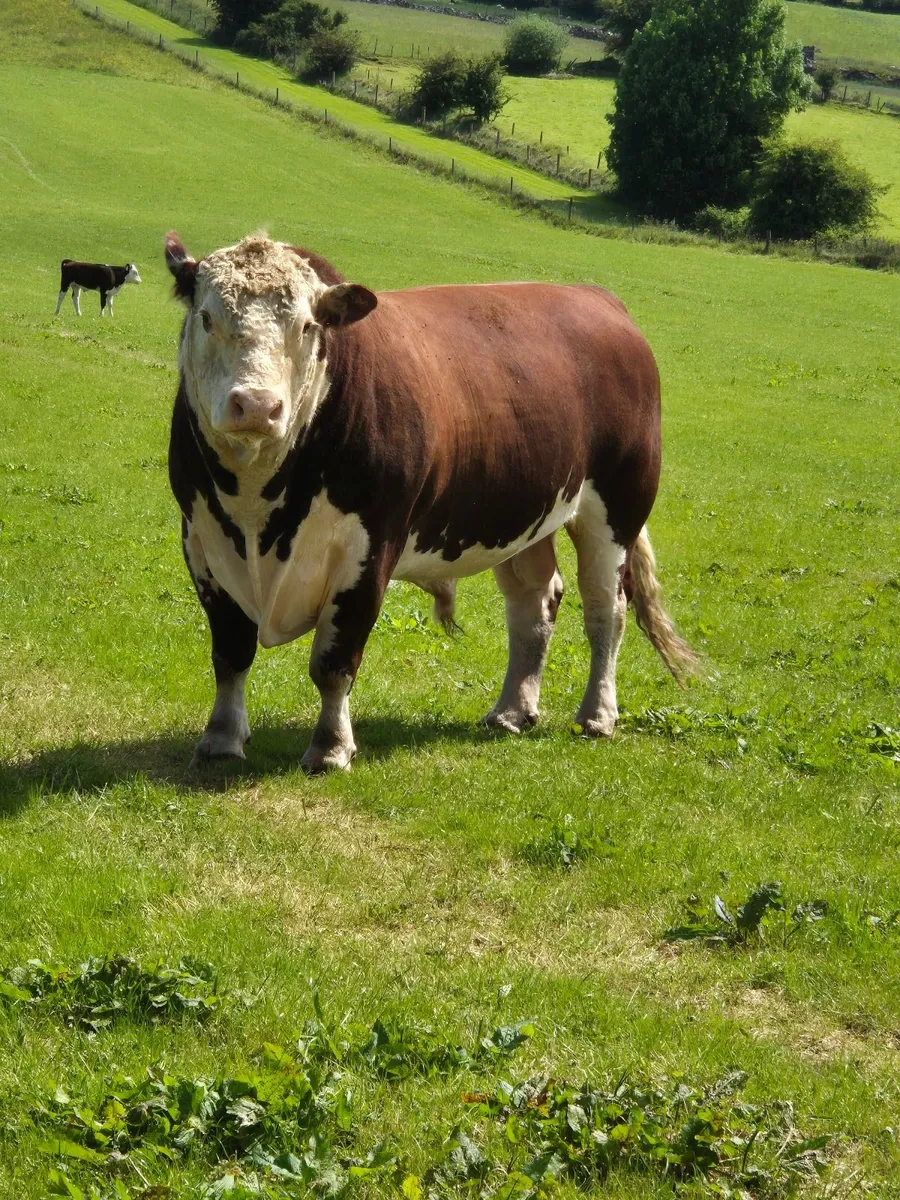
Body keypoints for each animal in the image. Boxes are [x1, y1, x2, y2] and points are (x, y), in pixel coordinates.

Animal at [164, 232, 695, 774]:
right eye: (206, 317)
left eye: (308, 325)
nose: (256, 406)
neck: (258, 511)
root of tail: (598, 299)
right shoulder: (202, 543)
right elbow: (231, 654)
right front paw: (222, 737)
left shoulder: (369, 551)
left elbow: (333, 664)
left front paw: (330, 746)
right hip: (521, 512)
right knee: (534, 602)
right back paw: (512, 710)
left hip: (617, 507)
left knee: (606, 609)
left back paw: (597, 715)